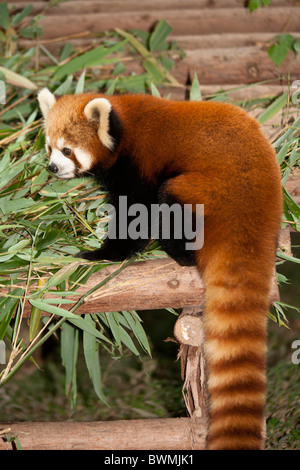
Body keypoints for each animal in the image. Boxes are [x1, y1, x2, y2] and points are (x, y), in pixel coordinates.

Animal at [37, 89, 282, 452]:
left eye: (68, 149)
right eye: (50, 146)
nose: (53, 167)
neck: (123, 128)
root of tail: (255, 219)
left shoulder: (139, 165)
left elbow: (136, 214)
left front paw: (104, 254)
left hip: (207, 191)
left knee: (171, 198)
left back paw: (178, 252)